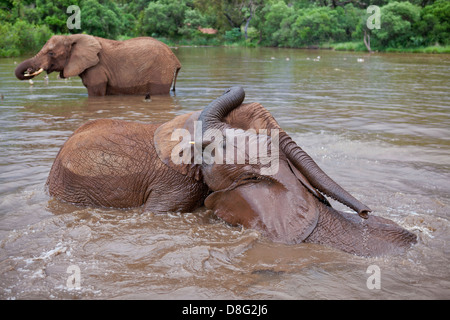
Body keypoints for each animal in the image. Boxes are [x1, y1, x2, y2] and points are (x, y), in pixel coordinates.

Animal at [14, 34, 182, 96]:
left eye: (51, 54)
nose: (29, 70)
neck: (72, 37)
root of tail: (175, 59)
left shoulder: (97, 68)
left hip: (161, 71)